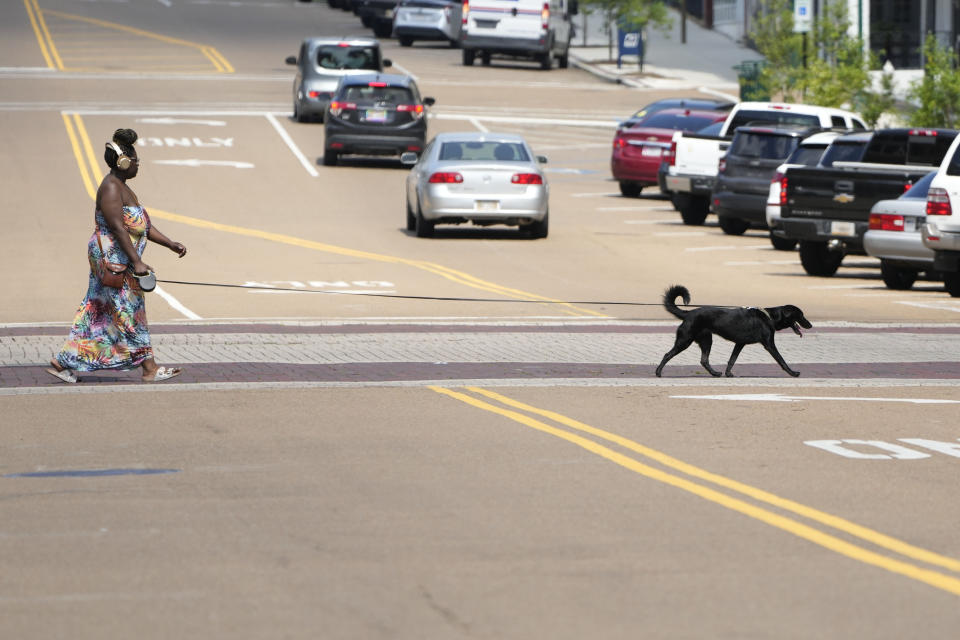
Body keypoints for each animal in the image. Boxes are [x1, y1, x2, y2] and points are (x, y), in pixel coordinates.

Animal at [652, 284, 808, 378]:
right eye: (800, 315)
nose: (810, 325)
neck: (769, 317)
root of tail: (688, 313)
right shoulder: (769, 345)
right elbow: (781, 360)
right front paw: (793, 373)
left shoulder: (739, 344)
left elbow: (732, 360)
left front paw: (728, 373)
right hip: (685, 340)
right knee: (667, 354)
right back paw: (658, 372)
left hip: (706, 340)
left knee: (704, 360)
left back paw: (715, 373)